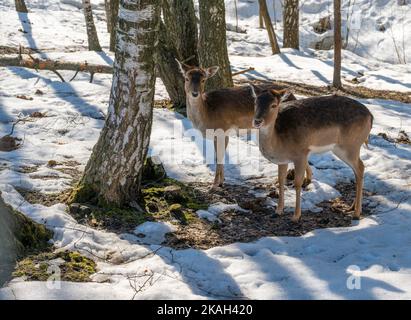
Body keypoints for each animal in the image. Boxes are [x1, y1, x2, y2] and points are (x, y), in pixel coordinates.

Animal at [175, 60, 314, 188]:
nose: (195, 93)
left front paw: (214, 185)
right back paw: (305, 180)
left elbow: (218, 157)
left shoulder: (222, 129)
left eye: (203, 80)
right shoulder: (224, 134)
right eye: (186, 78)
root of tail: (293, 96)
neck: (207, 114)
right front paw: (222, 181)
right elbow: (220, 156)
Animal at [251, 87, 374, 222]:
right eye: (255, 102)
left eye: (274, 105)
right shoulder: (283, 160)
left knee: (360, 167)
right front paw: (278, 210)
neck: (279, 141)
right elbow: (281, 180)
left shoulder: (301, 153)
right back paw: (352, 207)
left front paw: (296, 216)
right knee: (358, 169)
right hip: (342, 148)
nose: (257, 121)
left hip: (350, 146)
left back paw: (356, 213)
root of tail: (370, 116)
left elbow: (297, 183)